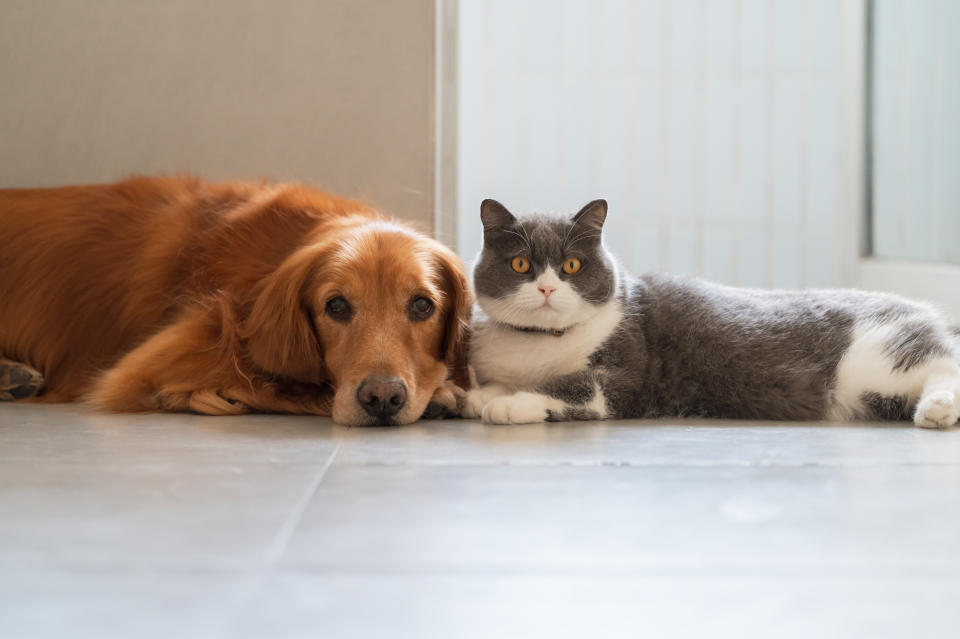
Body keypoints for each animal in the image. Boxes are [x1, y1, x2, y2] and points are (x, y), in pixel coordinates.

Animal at [464, 199, 960, 430]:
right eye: (521, 265)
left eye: (571, 266)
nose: (547, 288)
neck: (539, 342)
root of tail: (922, 311)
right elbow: (499, 382)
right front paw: (477, 395)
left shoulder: (620, 377)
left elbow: (569, 386)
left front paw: (508, 403)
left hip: (879, 359)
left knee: (942, 365)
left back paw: (938, 410)